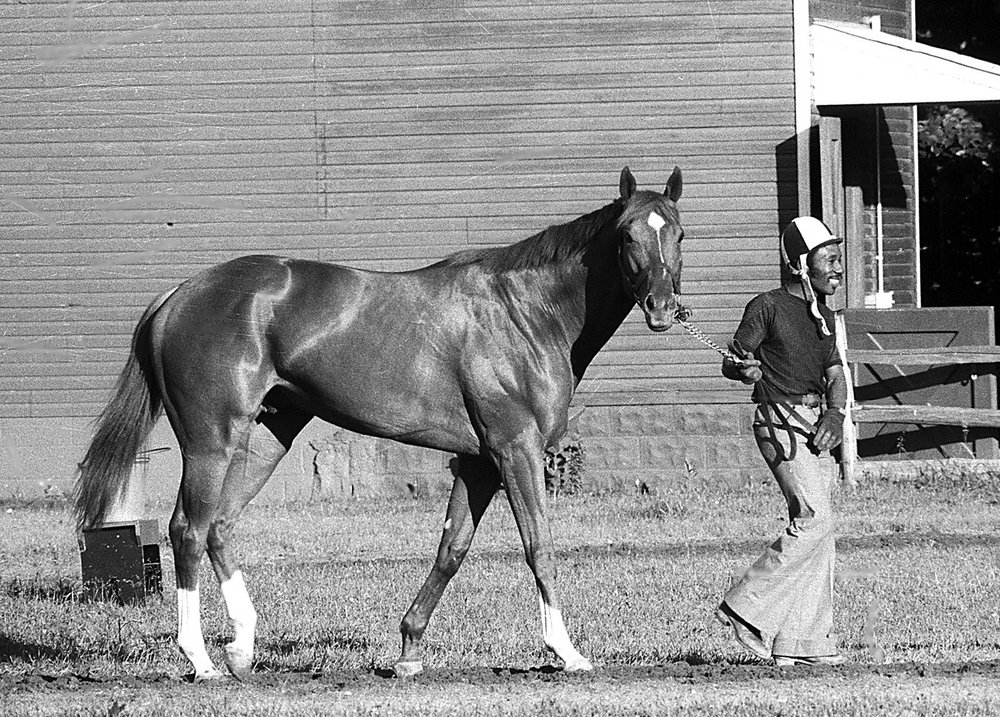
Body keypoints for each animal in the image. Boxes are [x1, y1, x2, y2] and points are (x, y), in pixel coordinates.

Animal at [74, 165, 684, 680]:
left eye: (678, 234)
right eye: (628, 235)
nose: (661, 308)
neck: (524, 313)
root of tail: (177, 296)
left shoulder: (478, 462)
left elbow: (451, 549)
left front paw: (410, 650)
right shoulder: (516, 450)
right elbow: (539, 545)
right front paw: (567, 651)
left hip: (265, 439)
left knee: (219, 526)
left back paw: (242, 646)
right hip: (212, 441)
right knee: (188, 529)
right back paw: (200, 659)